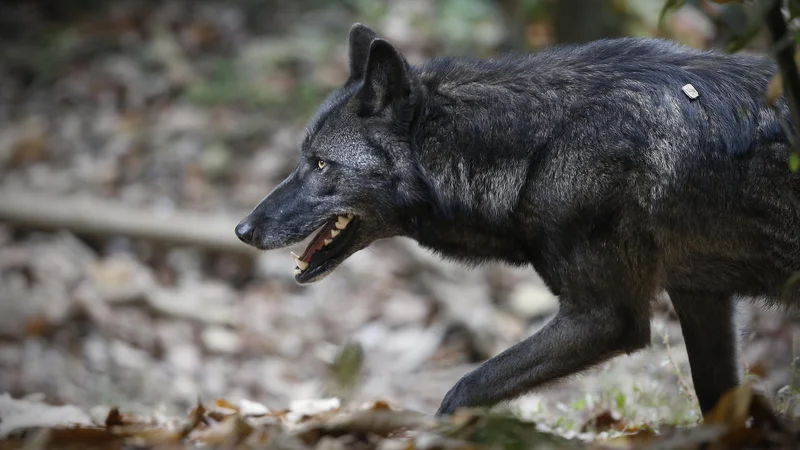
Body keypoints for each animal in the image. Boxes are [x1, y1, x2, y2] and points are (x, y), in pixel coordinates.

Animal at [238, 23, 800, 418]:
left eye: (321, 164)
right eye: (302, 158)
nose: (243, 230)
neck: (538, 147)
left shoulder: (606, 317)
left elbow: (464, 389)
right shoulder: (703, 299)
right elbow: (720, 403)